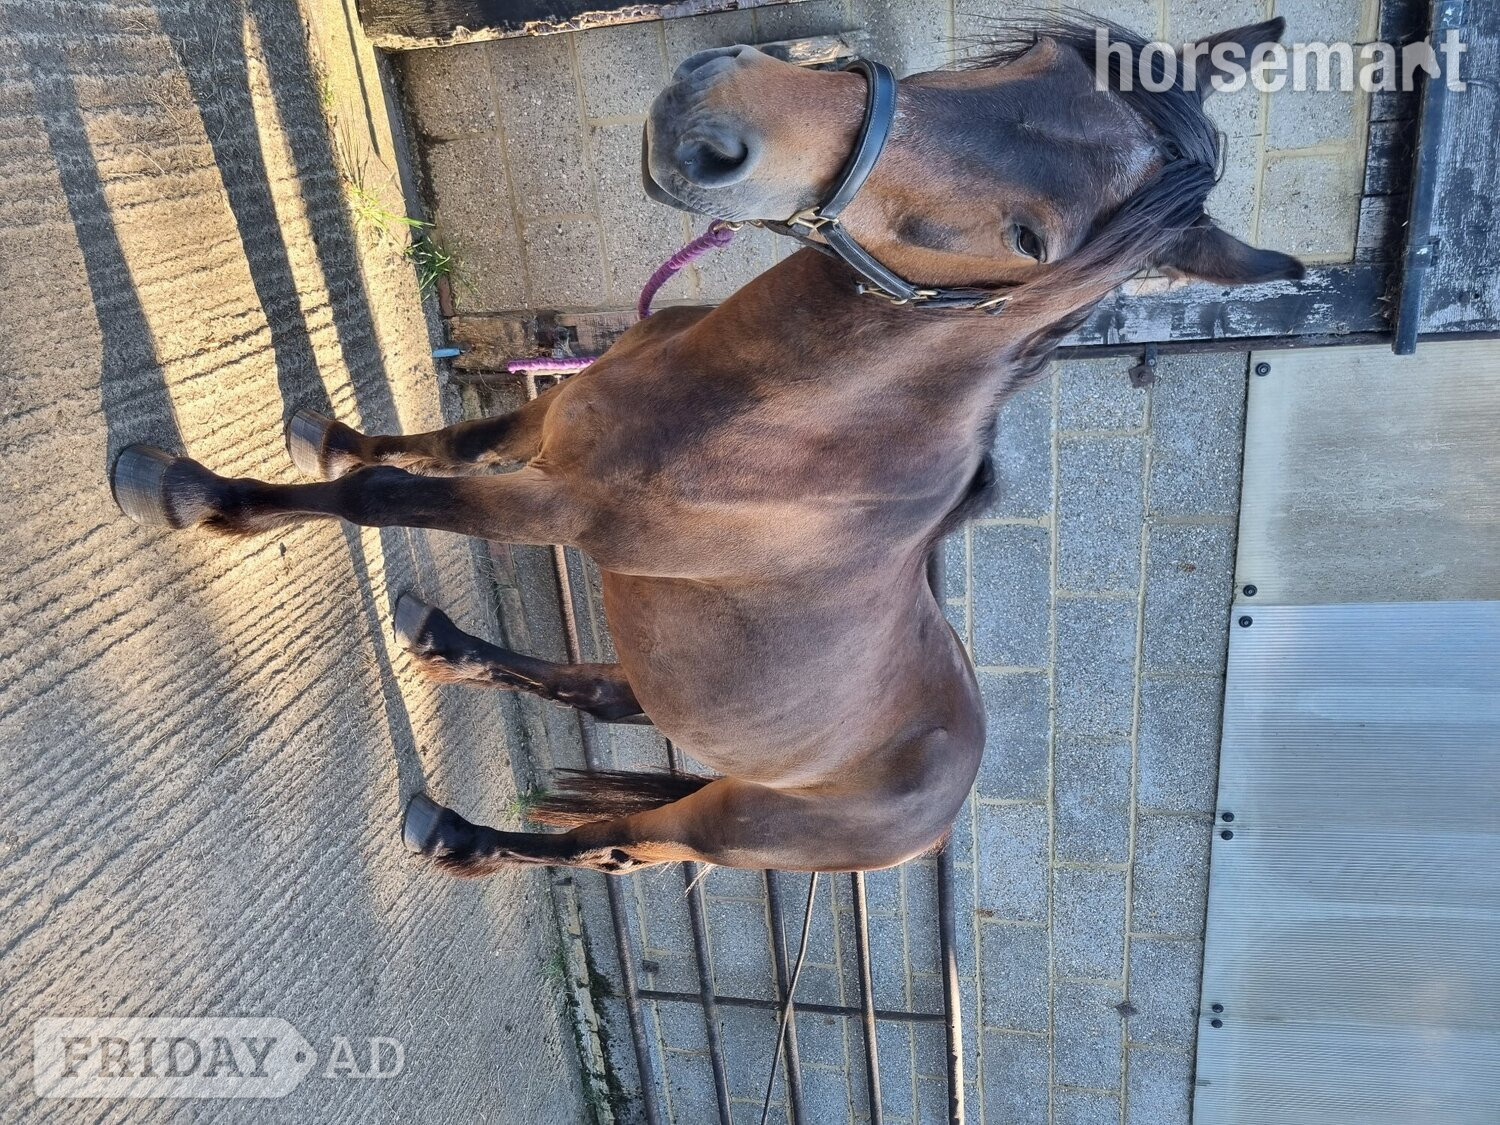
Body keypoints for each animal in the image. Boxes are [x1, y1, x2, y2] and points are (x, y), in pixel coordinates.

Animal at [111, 17, 1302, 878]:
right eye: (1031, 55)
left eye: (1032, 242)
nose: (714, 122)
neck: (777, 413)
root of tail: (945, 802)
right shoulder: (548, 420)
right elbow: (446, 441)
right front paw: (327, 433)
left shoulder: (555, 508)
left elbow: (389, 497)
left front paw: (192, 494)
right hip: (668, 681)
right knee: (603, 694)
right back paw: (444, 644)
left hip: (723, 823)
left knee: (613, 845)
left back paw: (463, 836)